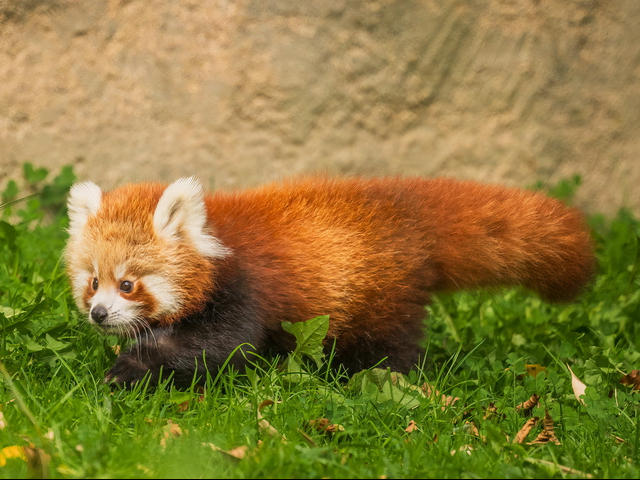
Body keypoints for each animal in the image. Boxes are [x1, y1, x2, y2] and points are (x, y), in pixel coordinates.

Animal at [65, 176, 596, 386]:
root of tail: (406, 210)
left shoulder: (245, 289)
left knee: (389, 346)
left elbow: (219, 346)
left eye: (128, 284)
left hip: (382, 295)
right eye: (93, 282)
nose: (99, 314)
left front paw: (129, 369)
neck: (217, 244)